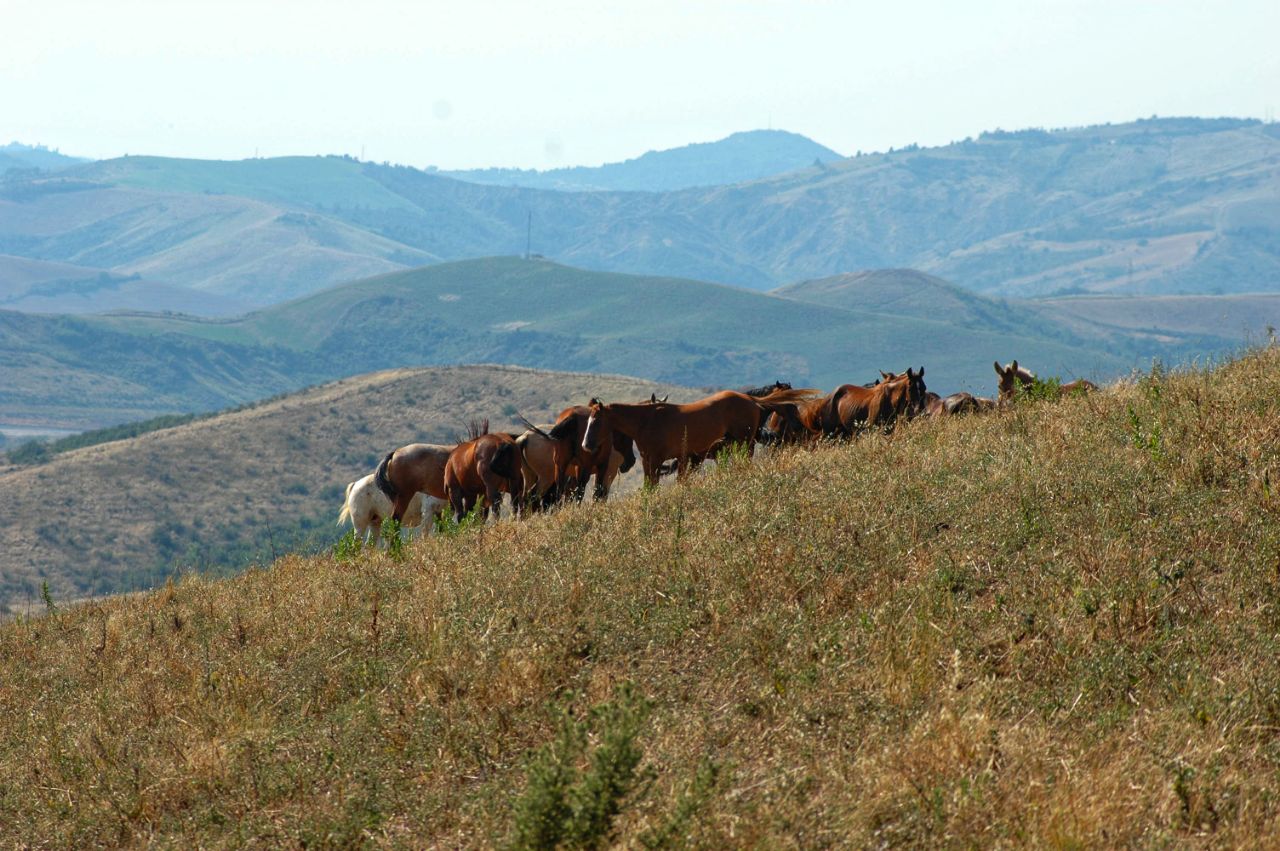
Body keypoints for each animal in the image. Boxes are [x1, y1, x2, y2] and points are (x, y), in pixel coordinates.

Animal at [583, 383, 814, 483]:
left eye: (596, 420)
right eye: (588, 420)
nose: (586, 445)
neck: (647, 420)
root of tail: (751, 400)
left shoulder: (658, 460)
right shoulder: (652, 461)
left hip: (745, 444)